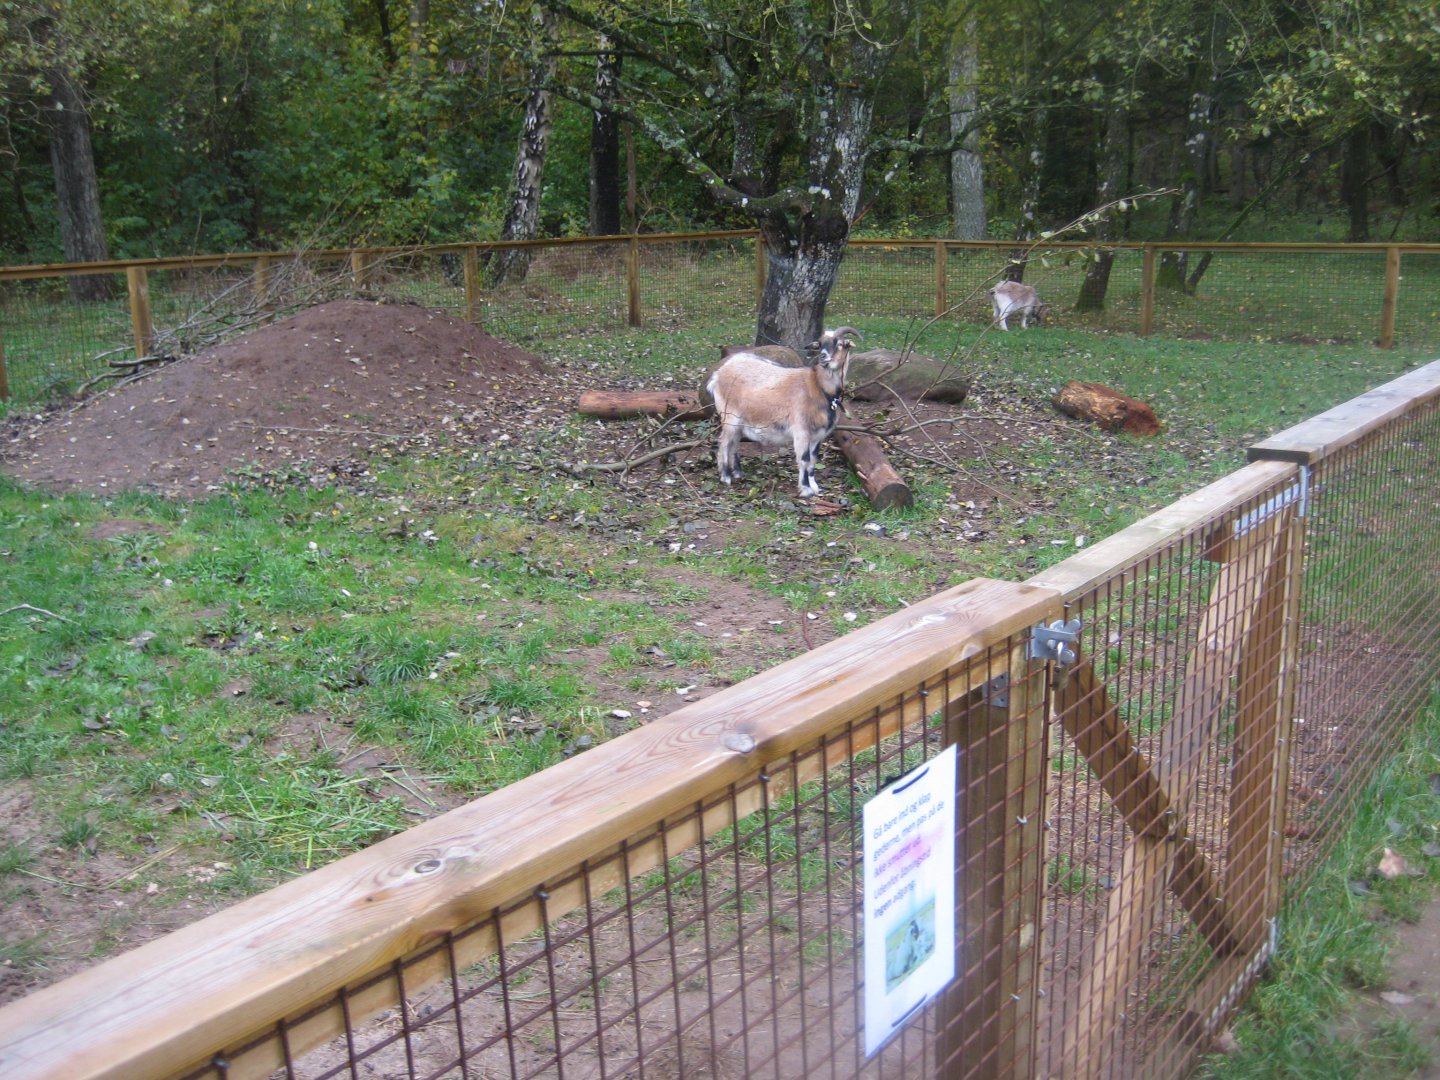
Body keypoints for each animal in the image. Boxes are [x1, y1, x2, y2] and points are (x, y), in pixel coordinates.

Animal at [706, 326, 861, 498]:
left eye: (840, 344)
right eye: (820, 344)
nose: (823, 356)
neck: (819, 388)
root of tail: (717, 375)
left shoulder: (818, 435)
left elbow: (813, 460)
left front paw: (814, 486)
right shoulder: (801, 430)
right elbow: (804, 459)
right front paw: (805, 489)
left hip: (739, 420)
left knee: (733, 442)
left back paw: (738, 473)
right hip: (729, 416)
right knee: (724, 442)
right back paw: (725, 476)